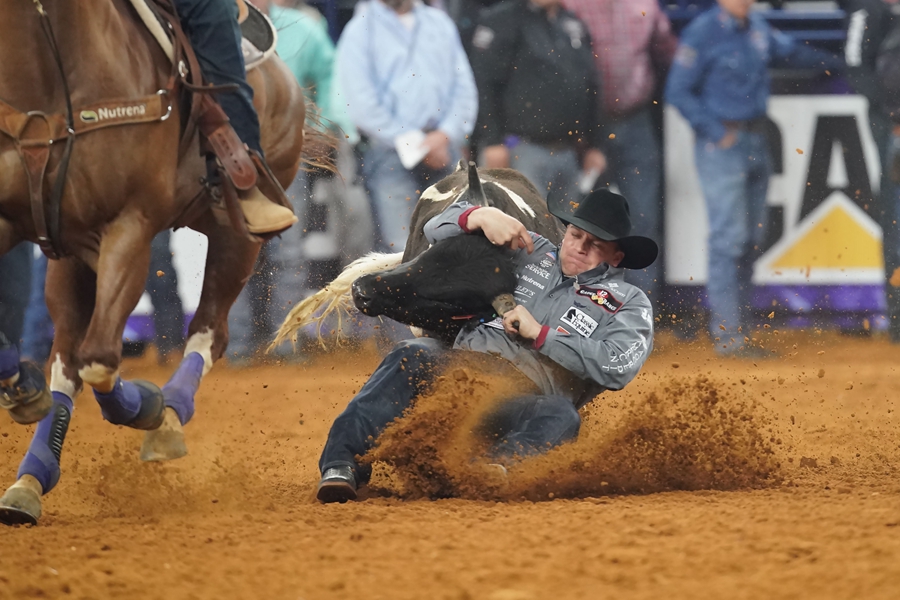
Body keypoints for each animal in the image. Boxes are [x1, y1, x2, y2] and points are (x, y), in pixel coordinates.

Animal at [0, 0, 316, 524]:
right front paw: (22, 385)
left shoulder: (129, 227)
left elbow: (102, 360)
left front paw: (150, 407)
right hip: (69, 259)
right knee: (66, 358)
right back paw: (29, 480)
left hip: (236, 235)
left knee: (207, 331)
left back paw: (167, 417)